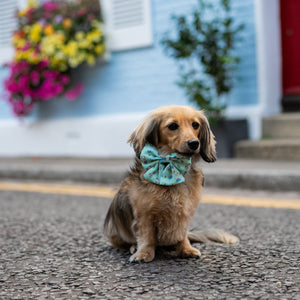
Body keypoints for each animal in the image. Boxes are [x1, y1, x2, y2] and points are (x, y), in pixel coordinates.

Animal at [103, 105, 239, 262]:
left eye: (195, 125)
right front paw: (144, 253)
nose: (194, 143)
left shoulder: (184, 213)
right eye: (172, 126)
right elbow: (146, 237)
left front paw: (186, 249)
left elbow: (182, 235)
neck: (171, 165)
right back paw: (133, 247)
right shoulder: (144, 215)